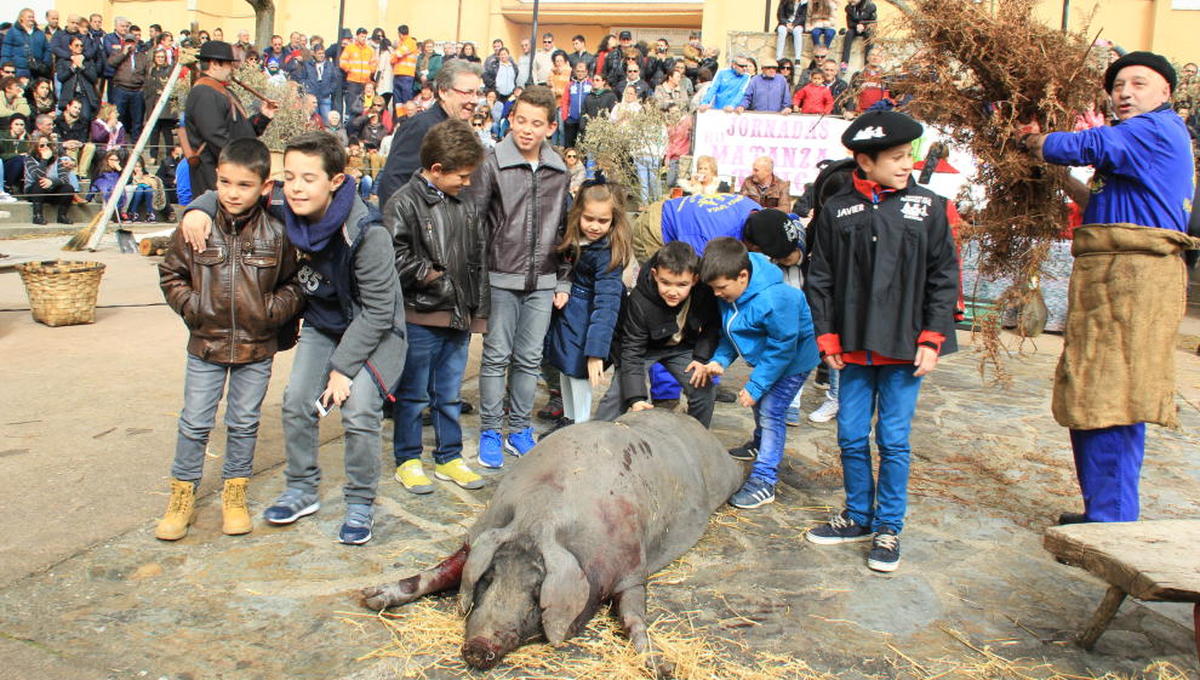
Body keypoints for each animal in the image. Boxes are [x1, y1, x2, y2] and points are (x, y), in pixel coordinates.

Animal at [360, 410, 744, 671]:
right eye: (487, 579)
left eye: (536, 592)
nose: (478, 646)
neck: (539, 519)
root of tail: (694, 423)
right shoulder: (478, 536)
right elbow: (437, 572)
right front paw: (370, 597)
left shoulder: (633, 568)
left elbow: (635, 615)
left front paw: (662, 667)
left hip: (726, 476)